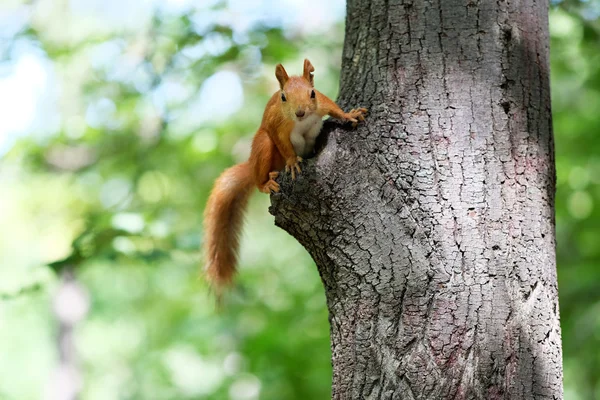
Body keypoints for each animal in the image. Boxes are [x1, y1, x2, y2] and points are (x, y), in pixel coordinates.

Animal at [204, 59, 368, 290]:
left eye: (312, 93)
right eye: (283, 97)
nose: (299, 112)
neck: (301, 122)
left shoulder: (322, 103)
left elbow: (335, 109)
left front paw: (350, 115)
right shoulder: (278, 124)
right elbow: (284, 144)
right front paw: (292, 162)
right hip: (263, 148)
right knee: (260, 172)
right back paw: (266, 183)